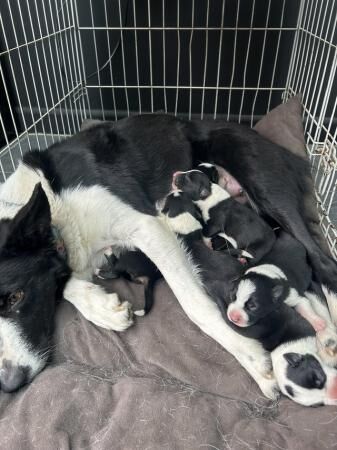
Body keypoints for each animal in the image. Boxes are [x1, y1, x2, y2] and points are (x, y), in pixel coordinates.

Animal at [0, 113, 334, 398]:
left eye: (16, 296)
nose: (11, 384)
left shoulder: (147, 227)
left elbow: (195, 305)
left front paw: (250, 356)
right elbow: (67, 283)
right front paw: (105, 309)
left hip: (261, 181)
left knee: (322, 261)